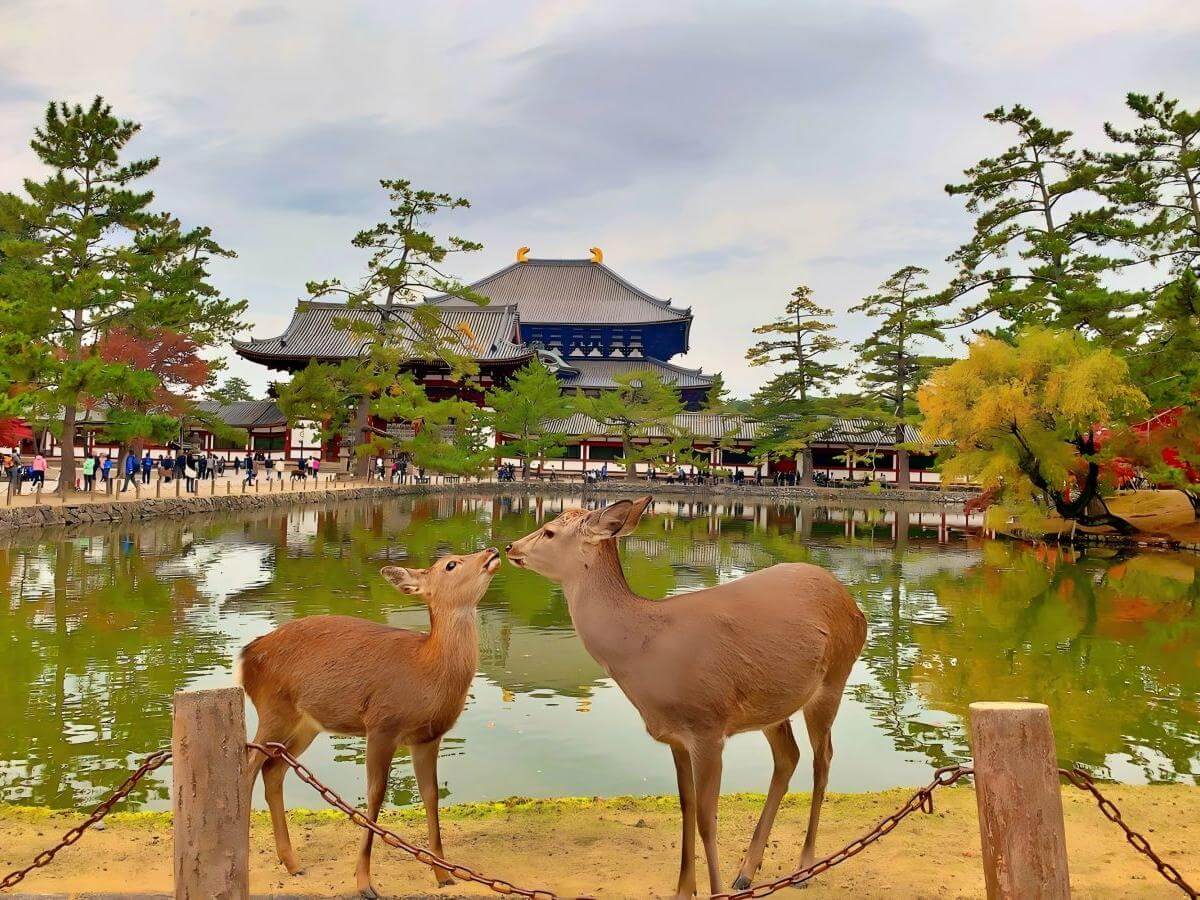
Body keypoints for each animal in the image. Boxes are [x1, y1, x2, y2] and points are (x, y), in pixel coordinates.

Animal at [239, 546, 502, 899]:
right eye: (450, 564)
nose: (492, 550)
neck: (427, 672)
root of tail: (245, 656)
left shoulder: (427, 738)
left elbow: (431, 795)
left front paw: (444, 874)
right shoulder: (381, 725)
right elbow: (375, 795)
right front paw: (364, 882)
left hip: (305, 725)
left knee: (273, 769)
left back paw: (293, 863)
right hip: (273, 710)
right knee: (249, 768)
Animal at [506, 497, 866, 899]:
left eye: (550, 531)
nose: (509, 547)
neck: (645, 649)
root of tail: (856, 608)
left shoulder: (708, 727)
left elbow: (708, 818)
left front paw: (716, 891)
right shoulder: (676, 737)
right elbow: (686, 807)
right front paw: (683, 889)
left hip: (834, 678)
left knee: (823, 760)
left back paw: (804, 867)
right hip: (772, 706)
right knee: (789, 757)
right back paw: (747, 872)